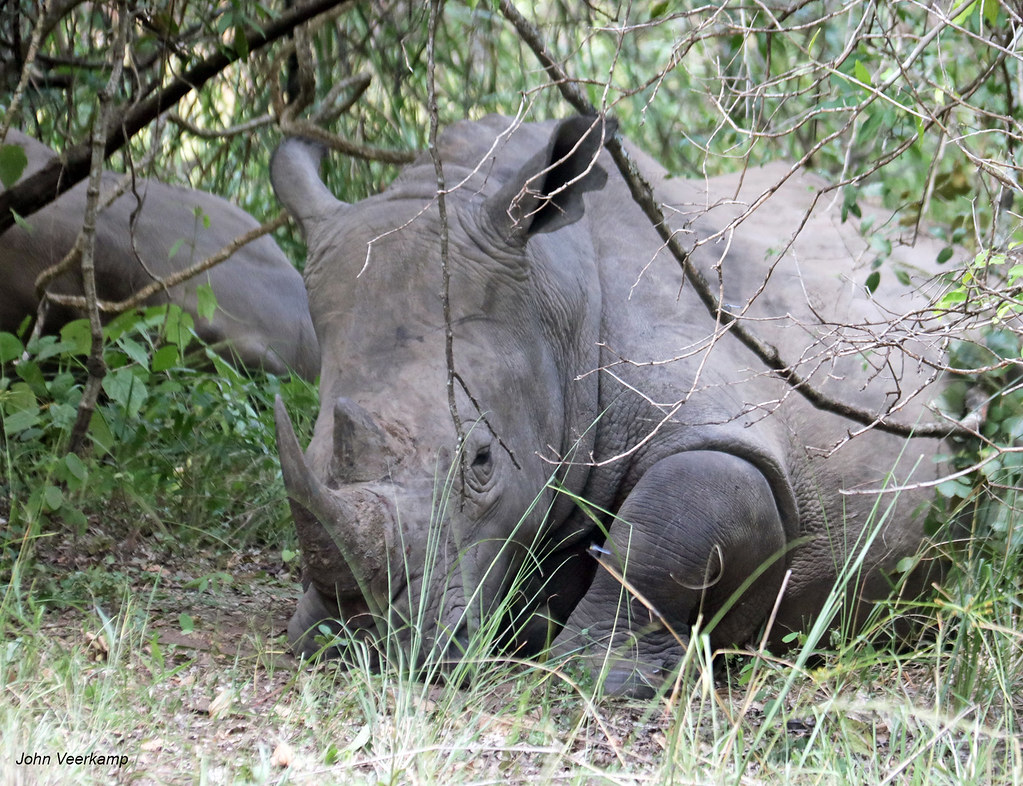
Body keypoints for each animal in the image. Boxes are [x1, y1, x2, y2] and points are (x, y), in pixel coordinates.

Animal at [271, 114, 954, 694]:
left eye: (483, 460)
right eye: (312, 445)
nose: (359, 639)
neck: (559, 299)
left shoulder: (725, 418)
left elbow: (672, 524)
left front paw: (594, 672)